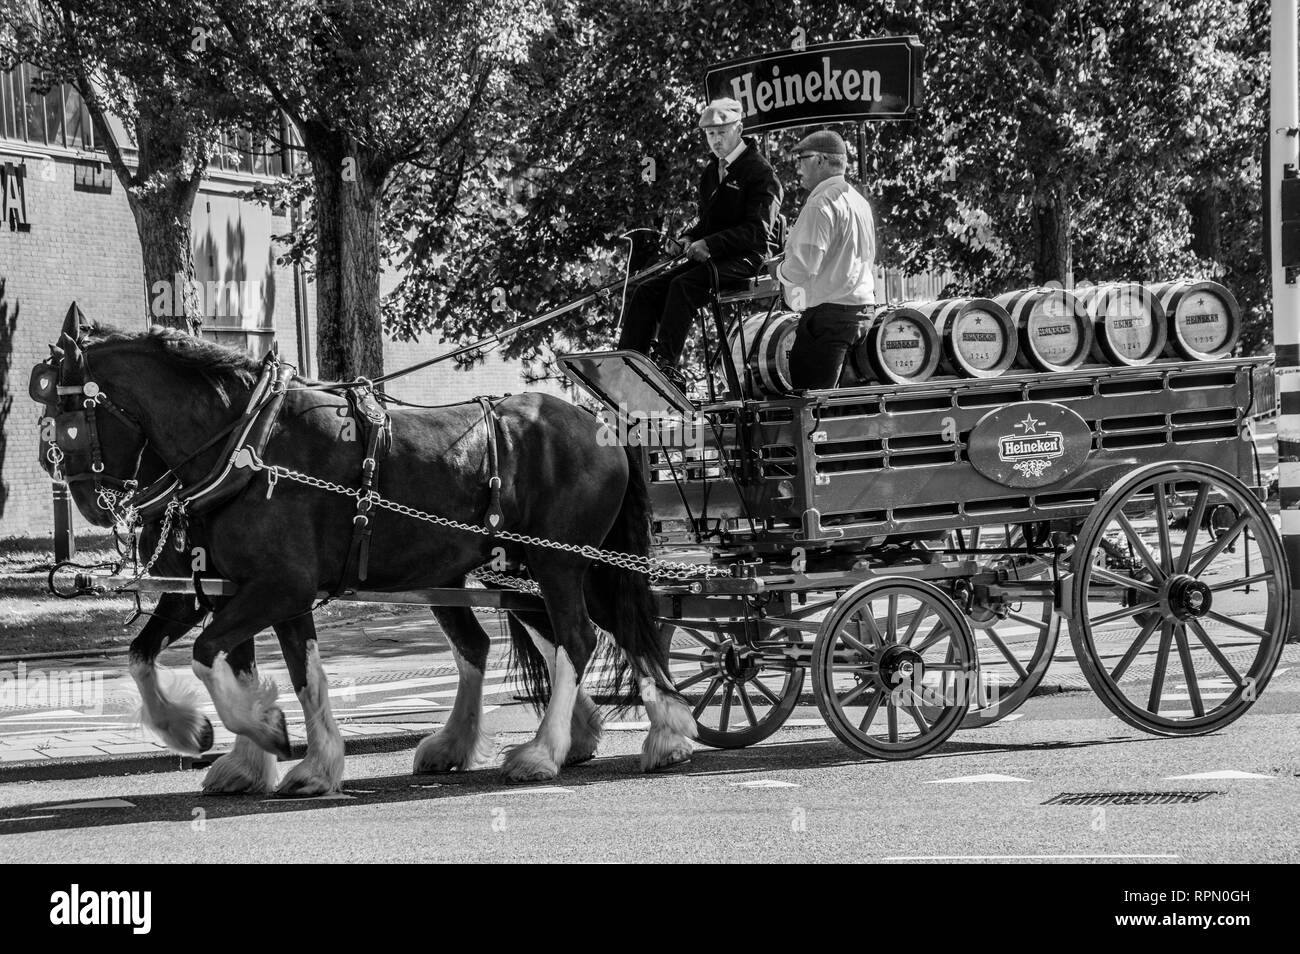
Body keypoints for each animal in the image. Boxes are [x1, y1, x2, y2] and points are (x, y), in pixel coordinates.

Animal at [35, 317, 696, 795]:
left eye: (64, 416)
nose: (85, 502)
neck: (245, 441)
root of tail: (599, 422)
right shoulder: (231, 589)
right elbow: (185, 660)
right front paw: (259, 754)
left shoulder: (280, 586)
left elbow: (209, 657)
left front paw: (267, 735)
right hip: (515, 570)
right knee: (575, 635)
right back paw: (662, 735)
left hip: (562, 563)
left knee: (579, 638)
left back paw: (545, 752)